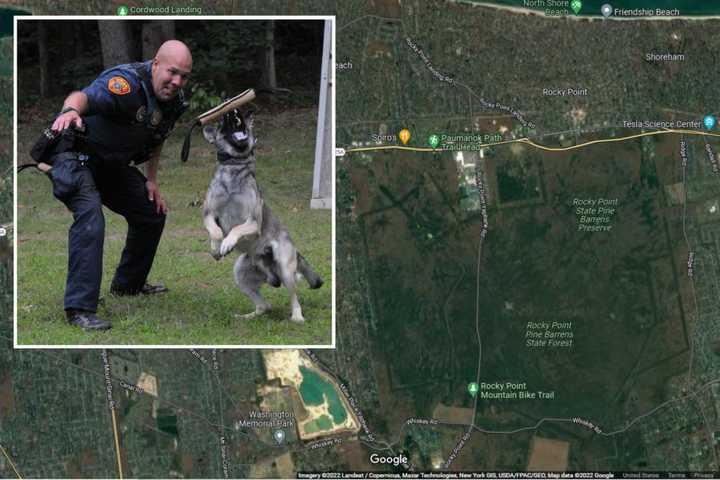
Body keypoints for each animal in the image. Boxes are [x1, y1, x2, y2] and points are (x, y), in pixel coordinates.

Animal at [204, 110, 324, 324]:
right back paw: (248, 316)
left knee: (294, 297)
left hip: (285, 269)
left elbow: (236, 228)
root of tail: (270, 273)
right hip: (241, 273)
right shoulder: (208, 215)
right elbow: (215, 231)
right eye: (222, 122)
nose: (233, 111)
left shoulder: (253, 222)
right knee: (265, 305)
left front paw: (227, 243)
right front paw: (216, 248)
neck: (233, 170)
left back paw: (297, 316)